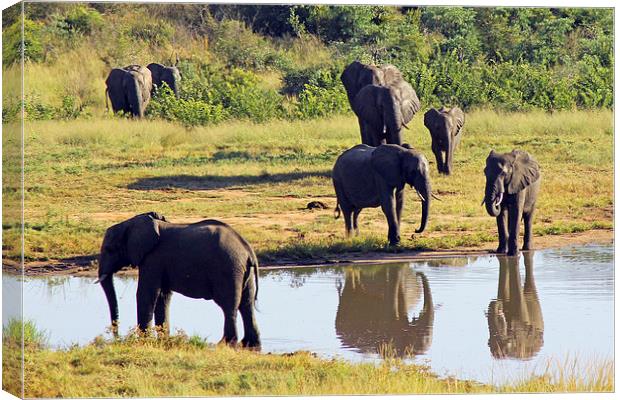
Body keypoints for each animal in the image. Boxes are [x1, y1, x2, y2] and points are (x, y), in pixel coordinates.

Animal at [95, 212, 260, 346]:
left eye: (109, 249)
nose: (116, 336)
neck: (131, 223)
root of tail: (248, 250)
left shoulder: (153, 258)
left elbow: (146, 293)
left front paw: (143, 340)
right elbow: (163, 296)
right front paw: (163, 339)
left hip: (228, 269)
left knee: (229, 305)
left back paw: (225, 344)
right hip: (243, 271)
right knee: (247, 304)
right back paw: (250, 344)